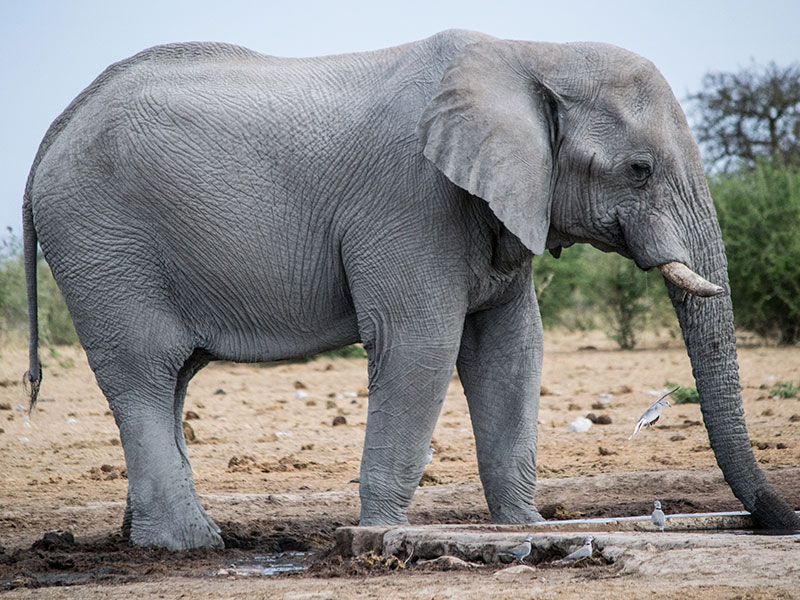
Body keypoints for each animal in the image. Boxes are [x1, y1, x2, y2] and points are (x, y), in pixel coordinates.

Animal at [21, 30, 796, 552]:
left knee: (172, 379)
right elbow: (421, 345)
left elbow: (512, 350)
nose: (779, 521)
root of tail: (51, 135)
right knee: (145, 373)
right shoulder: (410, 200)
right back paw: (189, 545)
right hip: (102, 244)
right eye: (639, 169)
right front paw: (379, 536)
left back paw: (145, 539)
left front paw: (522, 527)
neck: (531, 54)